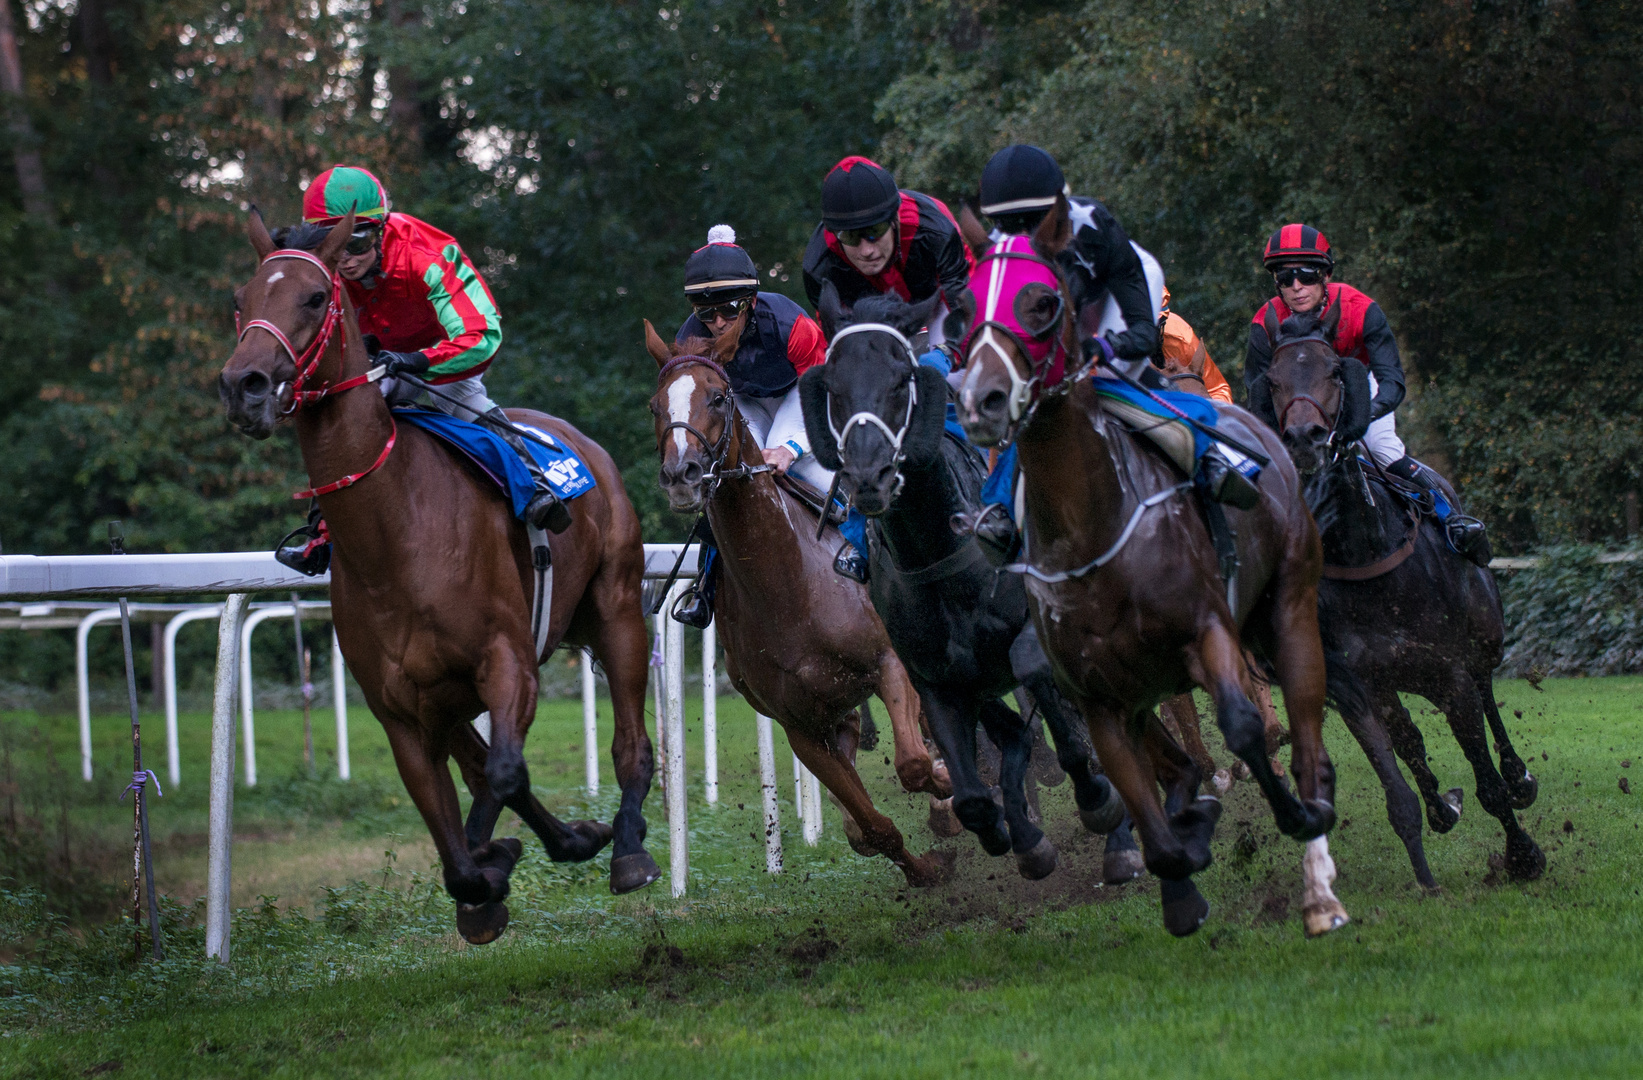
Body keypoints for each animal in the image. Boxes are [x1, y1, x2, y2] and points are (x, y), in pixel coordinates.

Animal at [216, 212, 653, 946]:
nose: (242, 385)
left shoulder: (507, 661)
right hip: (447, 696)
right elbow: (458, 838)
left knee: (629, 744)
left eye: (314, 297)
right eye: (241, 300)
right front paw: (490, 874)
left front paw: (499, 855)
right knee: (484, 767)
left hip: (617, 610)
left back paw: (627, 846)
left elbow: (502, 775)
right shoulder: (400, 708)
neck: (394, 535)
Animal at [640, 313, 952, 887]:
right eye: (655, 406)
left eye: (718, 397)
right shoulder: (802, 727)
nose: (682, 476)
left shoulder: (889, 660)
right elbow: (871, 828)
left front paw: (946, 786)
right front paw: (927, 870)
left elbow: (915, 763)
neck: (788, 586)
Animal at [798, 286, 1130, 887]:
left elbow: (1068, 732)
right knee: (1015, 735)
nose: (868, 477)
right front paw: (1015, 836)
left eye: (901, 378)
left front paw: (1096, 802)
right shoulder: (935, 677)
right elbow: (975, 791)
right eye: (832, 386)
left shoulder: (1034, 640)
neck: (937, 553)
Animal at [952, 198, 1347, 933]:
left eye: (1043, 302)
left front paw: (1273, 807)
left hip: (1289, 605)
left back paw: (1318, 885)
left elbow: (1244, 727)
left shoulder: (1206, 631)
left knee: (1307, 735)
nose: (982, 399)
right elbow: (1158, 821)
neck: (1090, 526)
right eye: (962, 304)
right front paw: (1184, 866)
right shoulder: (1101, 695)